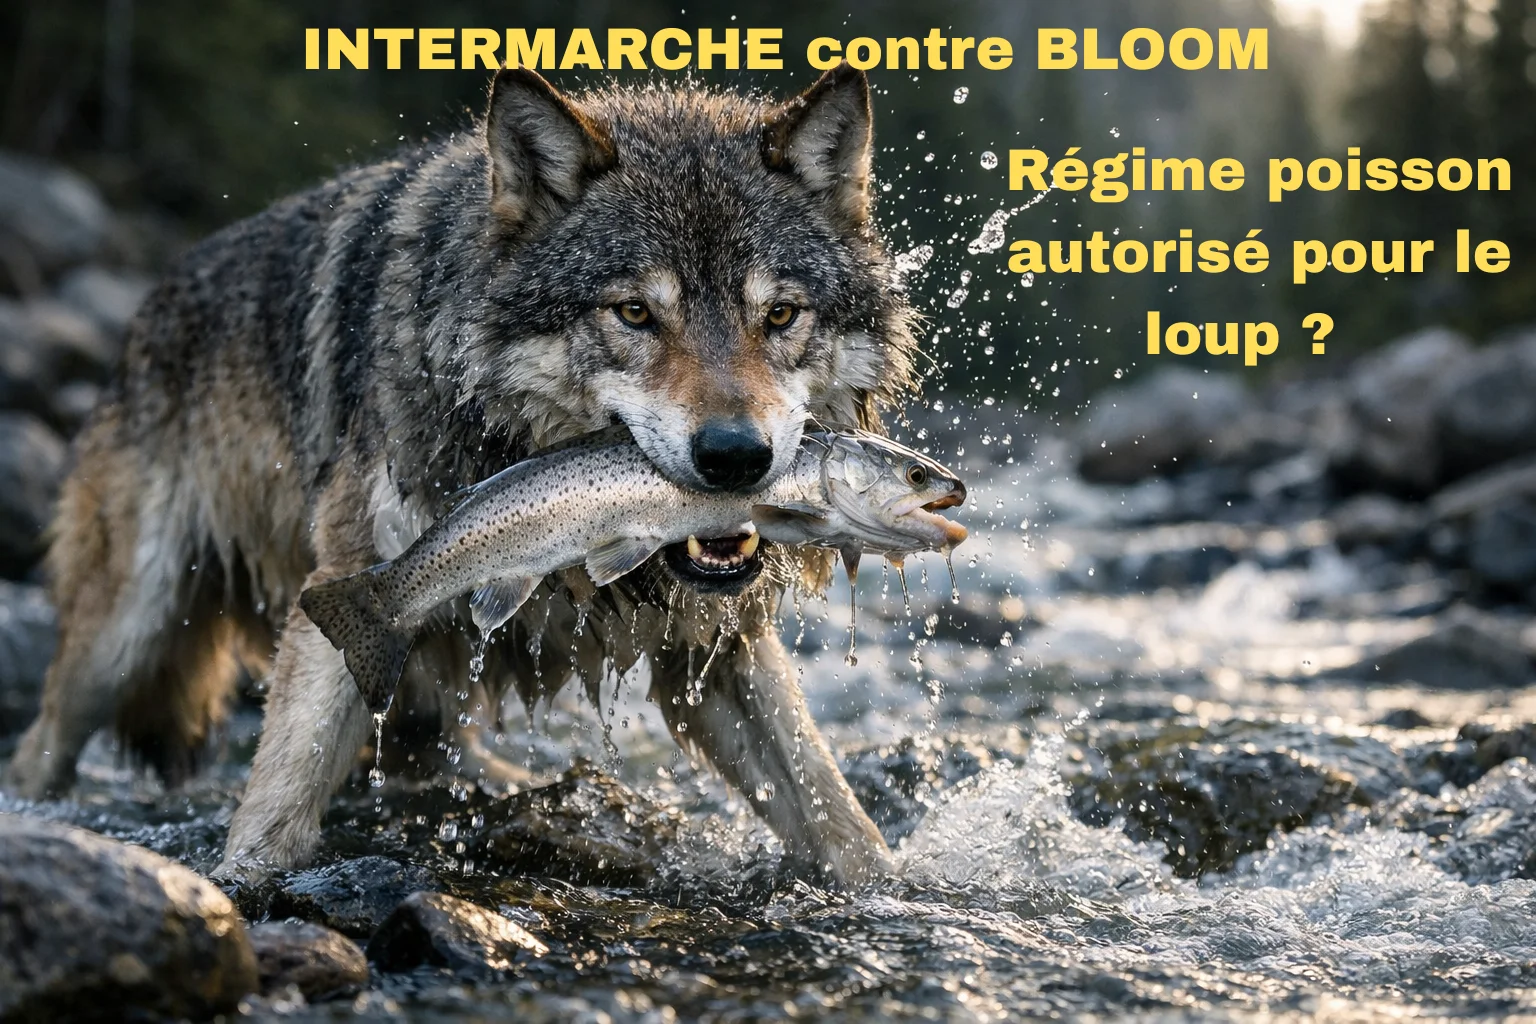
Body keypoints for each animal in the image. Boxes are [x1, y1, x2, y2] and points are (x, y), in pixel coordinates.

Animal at [1, 63, 919, 884]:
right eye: (634, 313)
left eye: (780, 315)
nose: (736, 456)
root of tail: (151, 303)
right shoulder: (349, 585)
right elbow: (282, 796)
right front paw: (239, 884)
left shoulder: (721, 649)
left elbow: (835, 815)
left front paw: (895, 892)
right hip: (122, 636)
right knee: (42, 745)